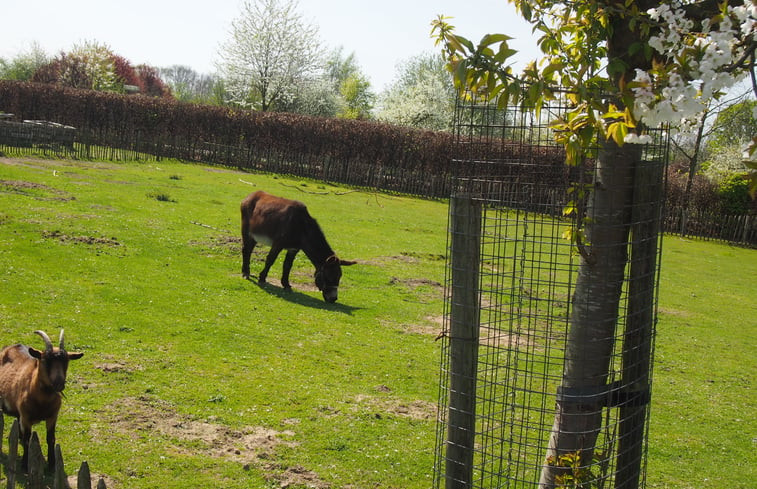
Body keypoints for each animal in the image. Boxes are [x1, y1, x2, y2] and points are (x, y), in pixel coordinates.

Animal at [0, 330, 83, 470]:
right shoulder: (26, 418)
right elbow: (27, 439)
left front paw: (52, 464)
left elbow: (51, 439)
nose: (59, 384)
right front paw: (25, 464)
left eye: (66, 361)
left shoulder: (52, 416)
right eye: (45, 360)